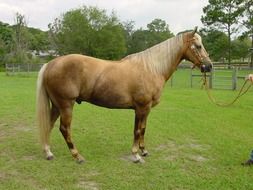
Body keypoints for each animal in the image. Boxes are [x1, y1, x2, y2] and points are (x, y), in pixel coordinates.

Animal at [36, 27, 212, 163]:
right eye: (198, 46)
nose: (209, 66)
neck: (151, 69)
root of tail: (51, 64)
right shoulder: (141, 108)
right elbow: (137, 131)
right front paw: (136, 156)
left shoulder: (144, 109)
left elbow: (142, 129)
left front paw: (143, 151)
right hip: (66, 105)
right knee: (64, 129)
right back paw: (77, 156)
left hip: (57, 105)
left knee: (49, 125)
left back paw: (48, 152)